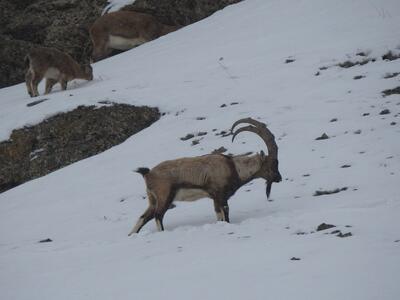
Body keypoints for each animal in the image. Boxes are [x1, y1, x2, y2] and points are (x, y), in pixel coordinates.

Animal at [128, 117, 282, 234]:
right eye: (273, 163)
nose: (279, 178)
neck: (233, 167)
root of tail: (148, 173)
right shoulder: (220, 195)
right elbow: (225, 213)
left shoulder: (214, 198)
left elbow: (218, 215)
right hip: (164, 196)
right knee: (158, 216)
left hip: (153, 200)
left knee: (143, 217)